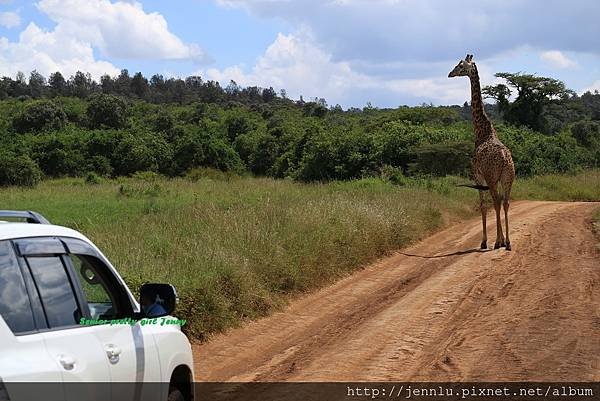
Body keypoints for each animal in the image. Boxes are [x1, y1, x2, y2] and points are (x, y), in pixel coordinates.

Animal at [450, 54, 516, 250]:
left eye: (460, 65)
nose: (450, 73)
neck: (482, 130)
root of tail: (504, 158)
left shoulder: (478, 176)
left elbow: (482, 205)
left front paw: (485, 241)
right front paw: (497, 240)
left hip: (492, 178)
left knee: (496, 201)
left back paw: (498, 242)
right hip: (508, 178)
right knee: (505, 202)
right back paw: (507, 242)